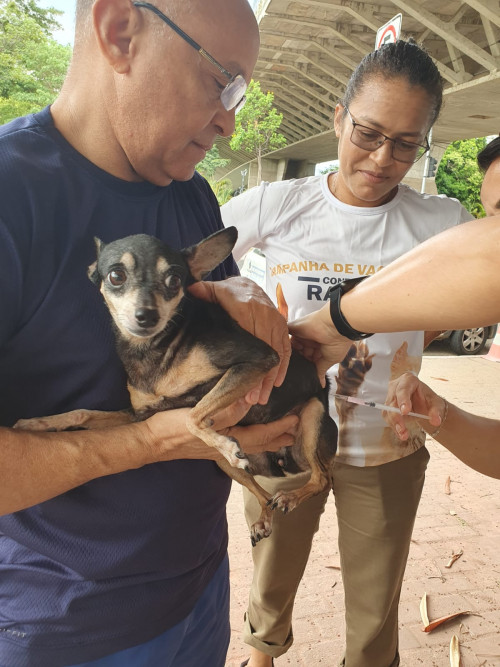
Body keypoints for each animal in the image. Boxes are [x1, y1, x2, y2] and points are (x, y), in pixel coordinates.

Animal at [15, 228, 338, 544]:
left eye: (174, 279)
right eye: (116, 276)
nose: (147, 315)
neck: (153, 350)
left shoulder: (257, 360)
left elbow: (193, 415)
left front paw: (222, 440)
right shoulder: (140, 414)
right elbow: (82, 413)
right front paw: (37, 423)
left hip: (311, 418)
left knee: (322, 478)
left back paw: (290, 496)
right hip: (227, 465)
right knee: (264, 492)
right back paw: (264, 519)